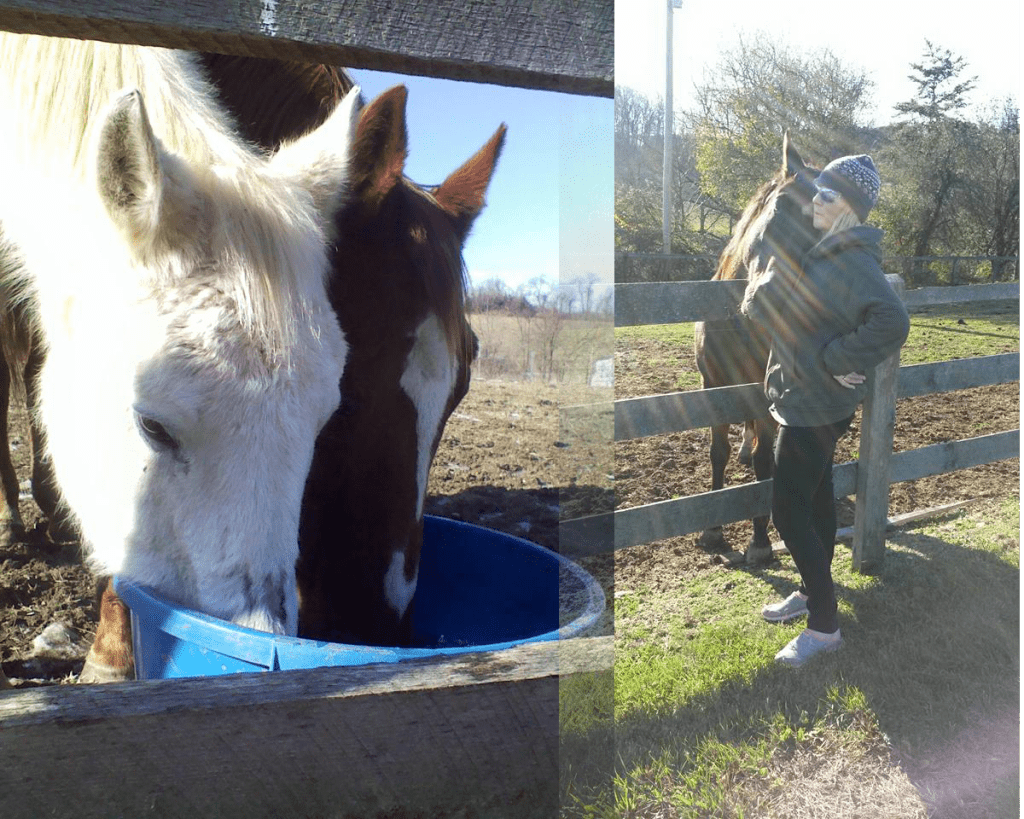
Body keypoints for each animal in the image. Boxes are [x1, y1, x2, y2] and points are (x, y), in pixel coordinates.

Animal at [692, 136, 819, 569]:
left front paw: (760, 541)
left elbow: (766, 463)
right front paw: (712, 530)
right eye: (778, 209)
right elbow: (717, 452)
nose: (770, 296)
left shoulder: (765, 394)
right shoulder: (711, 386)